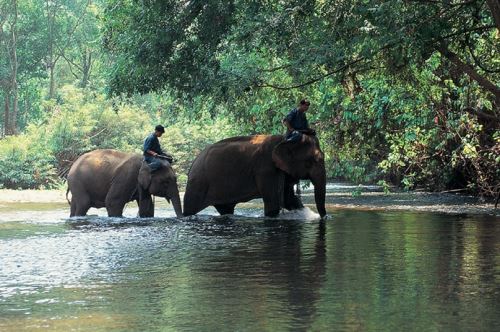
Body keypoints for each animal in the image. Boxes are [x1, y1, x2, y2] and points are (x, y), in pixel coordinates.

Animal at [184, 134, 328, 218]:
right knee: (190, 208)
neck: (286, 138)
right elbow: (273, 205)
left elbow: (290, 200)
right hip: (198, 183)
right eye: (312, 161)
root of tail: (193, 164)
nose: (324, 217)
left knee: (226, 209)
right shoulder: (265, 170)